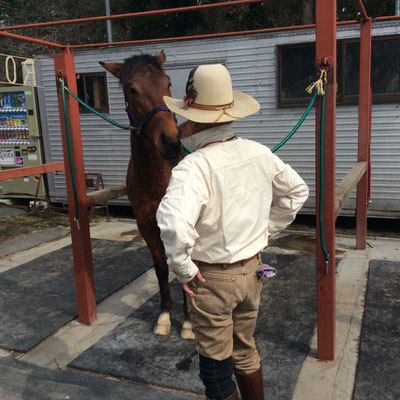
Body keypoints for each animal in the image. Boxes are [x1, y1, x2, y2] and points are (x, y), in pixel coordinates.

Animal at [100, 51, 194, 340]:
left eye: (167, 83)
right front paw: (164, 317)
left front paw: (189, 323)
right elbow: (162, 268)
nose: (171, 141)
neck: (158, 178)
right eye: (132, 89)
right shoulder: (147, 226)